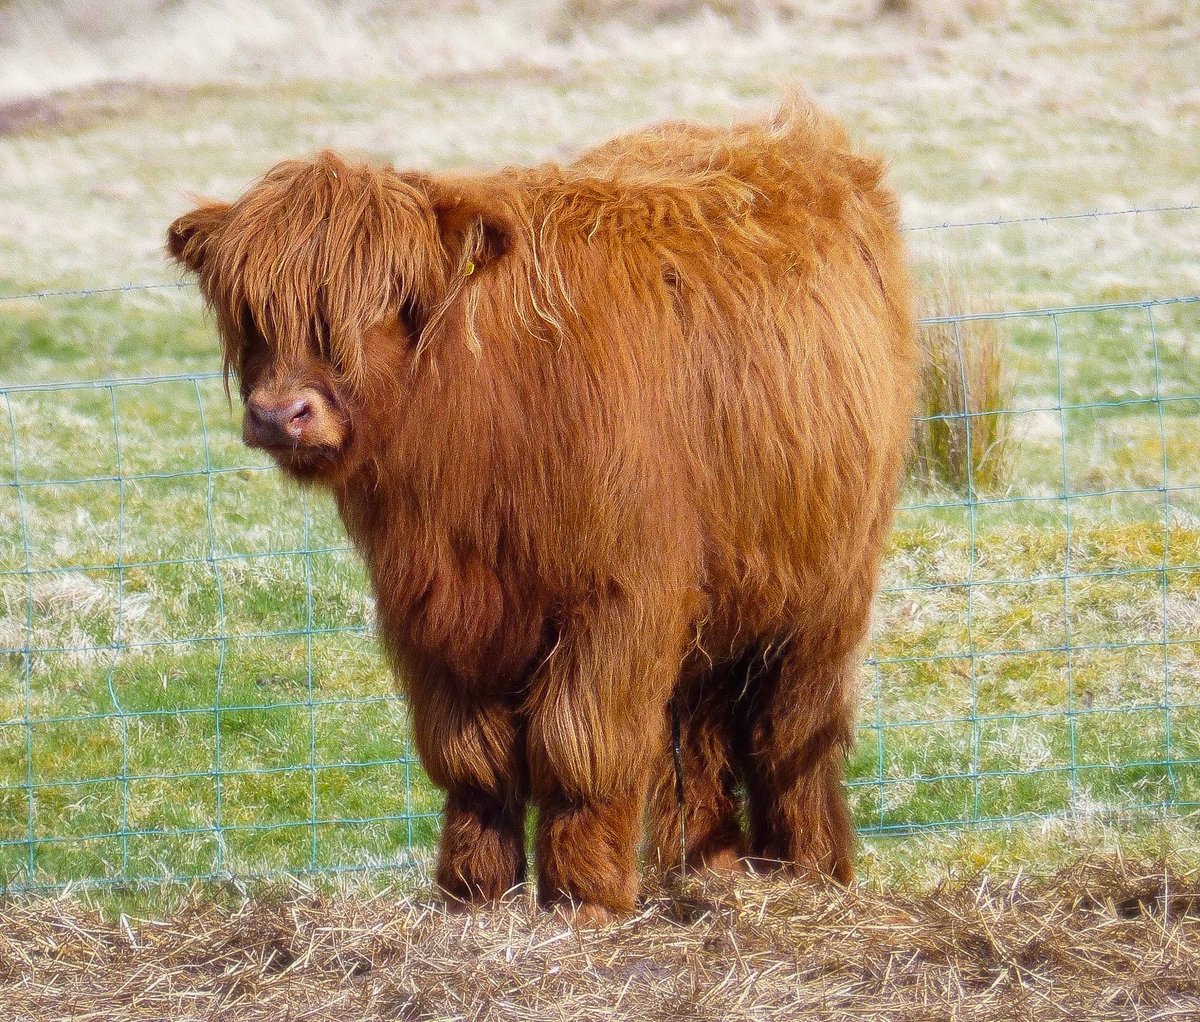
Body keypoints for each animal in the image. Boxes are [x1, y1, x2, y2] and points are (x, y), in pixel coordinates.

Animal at [169, 99, 916, 921]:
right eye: (251, 313)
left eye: (386, 303)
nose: (281, 414)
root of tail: (797, 138)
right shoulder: (438, 621)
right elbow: (472, 762)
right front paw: (475, 895)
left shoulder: (618, 602)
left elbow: (580, 750)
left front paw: (584, 899)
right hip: (721, 593)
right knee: (701, 730)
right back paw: (710, 869)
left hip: (827, 588)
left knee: (793, 731)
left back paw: (807, 872)